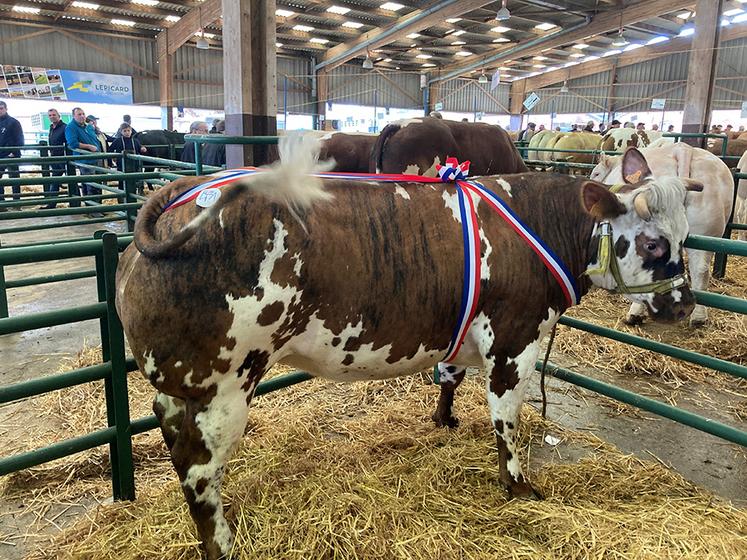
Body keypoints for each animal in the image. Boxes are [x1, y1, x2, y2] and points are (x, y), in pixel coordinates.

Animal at [115, 137, 696, 560]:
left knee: (170, 431)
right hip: (224, 386)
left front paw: (444, 419)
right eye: (653, 243)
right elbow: (507, 419)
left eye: (687, 235)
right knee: (199, 468)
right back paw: (221, 544)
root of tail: (183, 193)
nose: (684, 306)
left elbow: (451, 376)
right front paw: (517, 486)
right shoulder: (515, 342)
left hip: (182, 384)